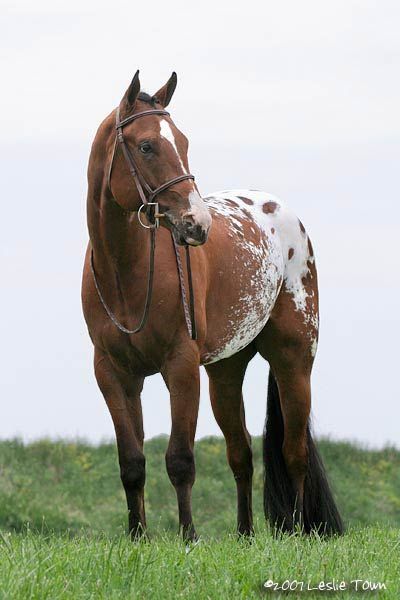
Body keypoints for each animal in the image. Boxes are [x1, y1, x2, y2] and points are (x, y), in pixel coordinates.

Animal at [82, 70, 344, 540]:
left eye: (183, 142)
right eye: (146, 146)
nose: (197, 224)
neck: (125, 271)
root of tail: (286, 216)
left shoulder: (181, 367)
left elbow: (180, 460)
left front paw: (188, 538)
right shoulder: (114, 374)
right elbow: (132, 463)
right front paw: (137, 537)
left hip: (294, 360)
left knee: (293, 451)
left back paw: (298, 532)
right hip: (225, 371)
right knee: (241, 453)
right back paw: (245, 535)